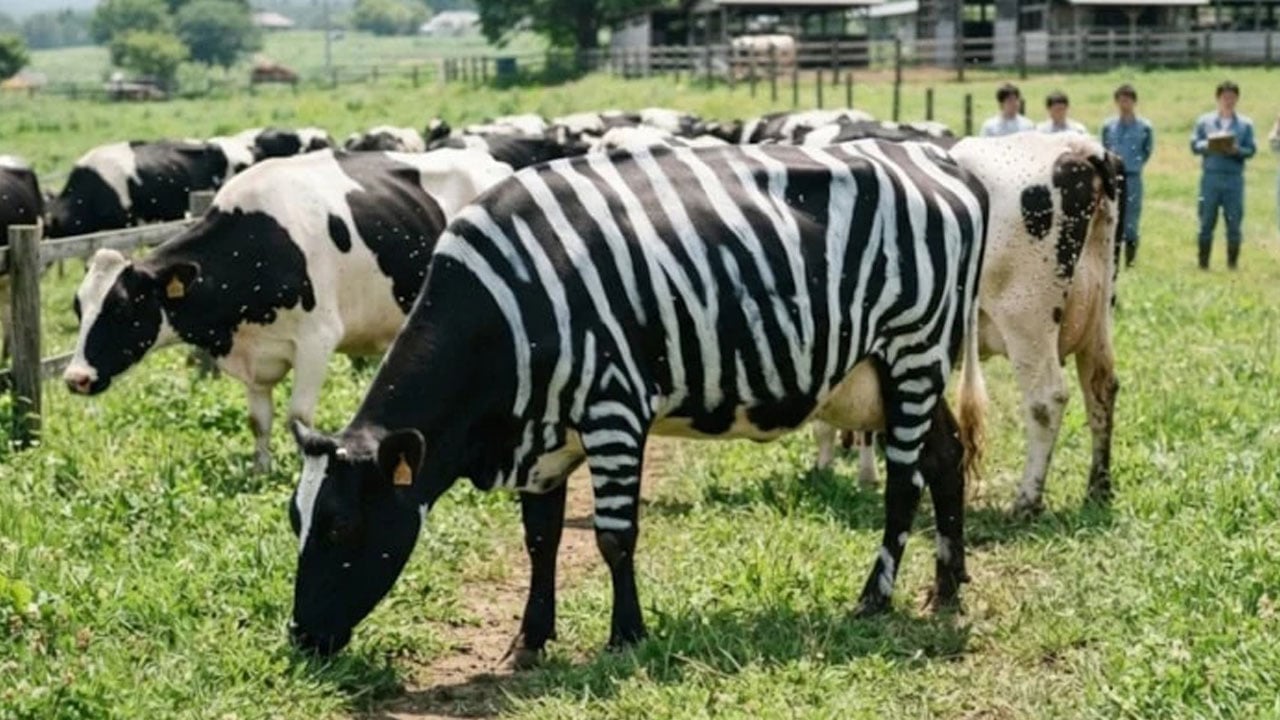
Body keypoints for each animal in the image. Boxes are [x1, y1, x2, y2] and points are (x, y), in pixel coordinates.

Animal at [285, 140, 990, 660]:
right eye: (296, 522)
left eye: (342, 526)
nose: (299, 638)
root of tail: (937, 156)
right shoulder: (543, 437)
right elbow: (540, 539)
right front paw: (530, 638)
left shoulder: (613, 410)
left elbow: (614, 537)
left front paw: (627, 635)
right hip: (890, 376)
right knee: (946, 458)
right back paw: (948, 586)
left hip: (912, 352)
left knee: (904, 484)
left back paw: (876, 597)